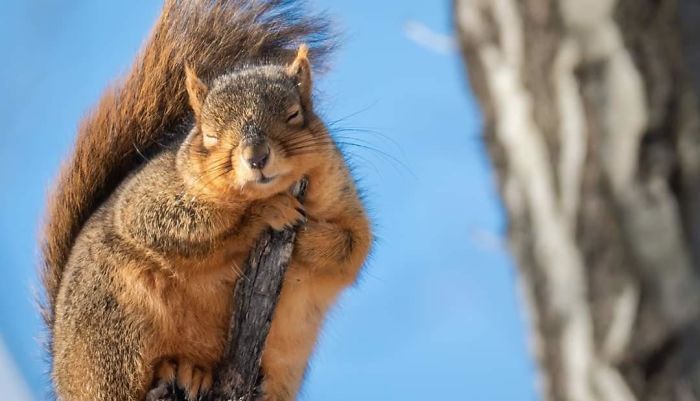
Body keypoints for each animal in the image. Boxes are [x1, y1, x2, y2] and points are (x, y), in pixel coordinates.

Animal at [41, 1, 372, 400]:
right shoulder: (147, 200)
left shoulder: (343, 199)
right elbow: (176, 226)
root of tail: (65, 381)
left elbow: (352, 247)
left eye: (296, 114)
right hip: (112, 332)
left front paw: (307, 234)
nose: (257, 157)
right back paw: (177, 370)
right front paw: (265, 212)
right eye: (209, 135)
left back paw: (197, 373)